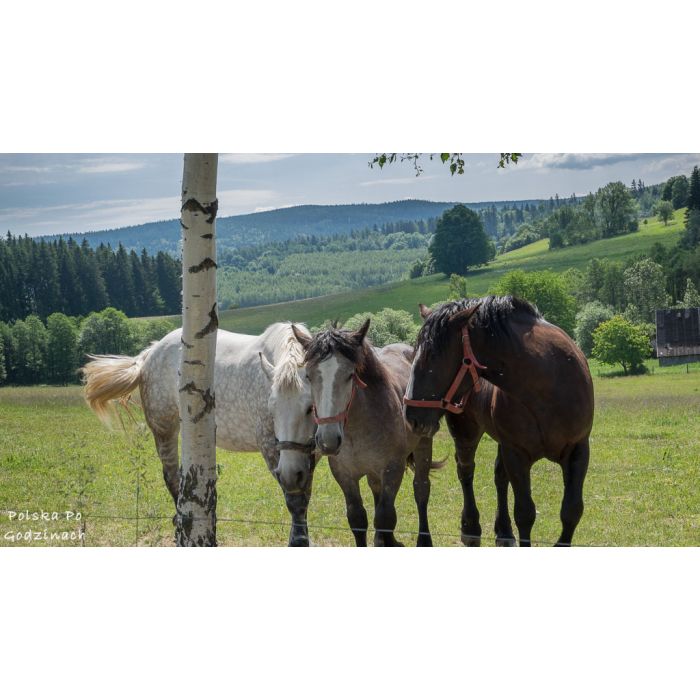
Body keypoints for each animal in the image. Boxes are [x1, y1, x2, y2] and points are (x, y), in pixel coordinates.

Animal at [80, 322, 318, 548]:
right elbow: (294, 498)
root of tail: (151, 351)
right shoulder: (271, 447)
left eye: (310, 407)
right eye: (271, 408)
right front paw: (298, 541)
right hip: (164, 429)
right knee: (172, 478)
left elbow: (304, 494)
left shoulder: (305, 456)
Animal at [402, 296, 592, 548]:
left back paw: (504, 531)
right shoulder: (516, 454)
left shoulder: (578, 450)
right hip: (466, 432)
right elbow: (525, 513)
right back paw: (471, 527)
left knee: (499, 477)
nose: (411, 416)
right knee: (466, 471)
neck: (550, 384)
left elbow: (572, 510)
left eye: (431, 356)